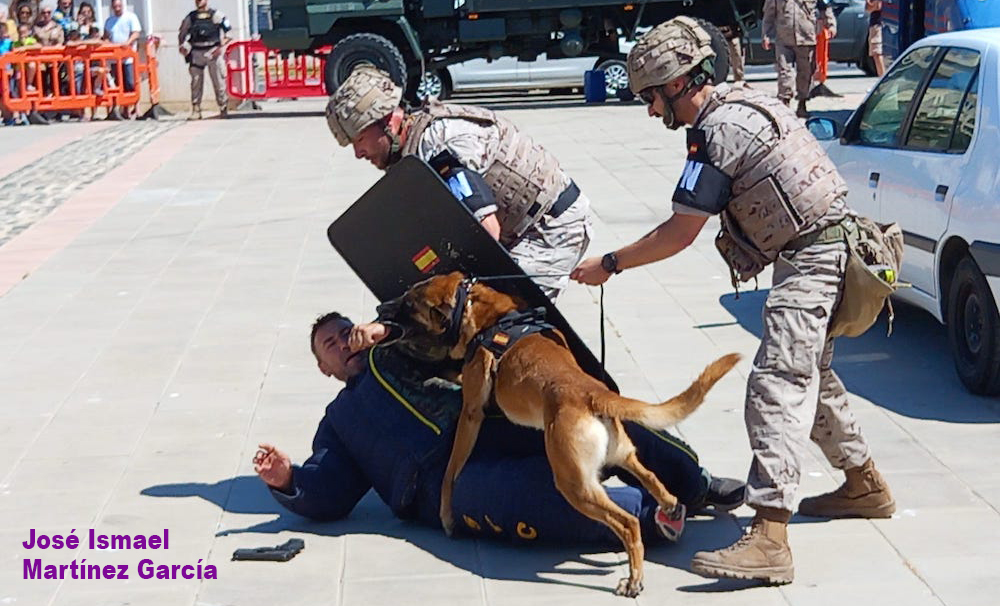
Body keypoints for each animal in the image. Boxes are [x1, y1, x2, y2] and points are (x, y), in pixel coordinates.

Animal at [394, 271, 741, 597]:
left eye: (409, 304)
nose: (383, 310)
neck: (479, 310)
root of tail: (592, 392)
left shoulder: (471, 414)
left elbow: (451, 471)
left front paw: (446, 515)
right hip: (620, 457)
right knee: (655, 482)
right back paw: (669, 508)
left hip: (576, 487)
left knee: (628, 524)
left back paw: (633, 579)